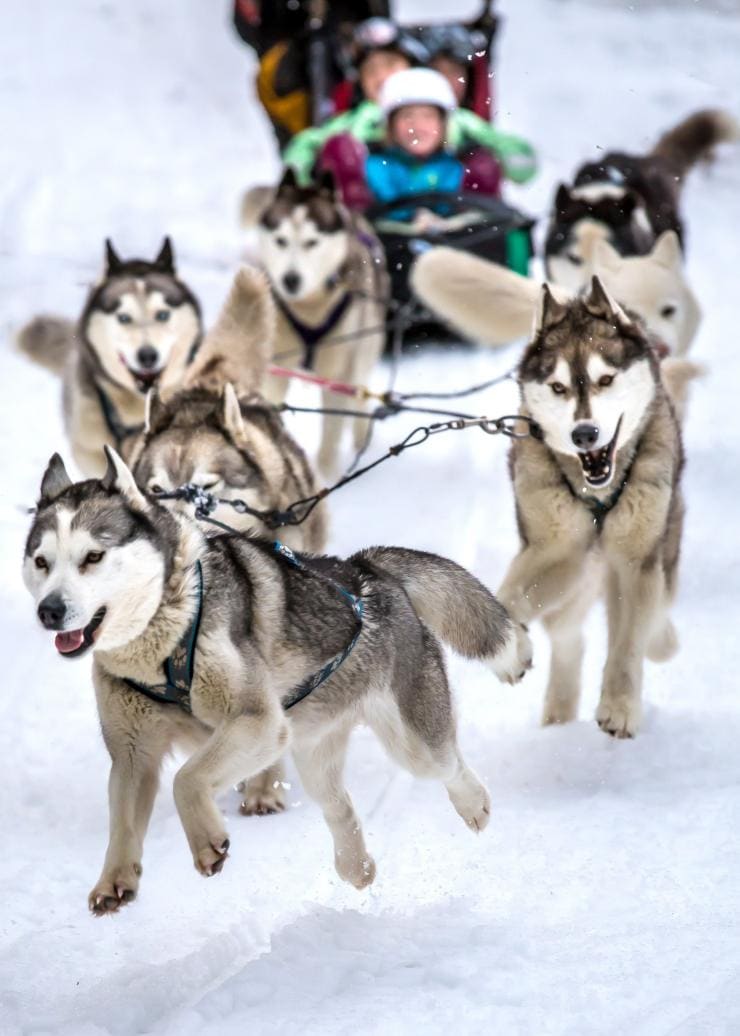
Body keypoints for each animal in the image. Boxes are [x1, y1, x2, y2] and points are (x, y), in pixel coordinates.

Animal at [23, 449, 530, 911]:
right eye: (41, 561)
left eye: (93, 556)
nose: (49, 611)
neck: (163, 637)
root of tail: (366, 569)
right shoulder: (133, 754)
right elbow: (123, 821)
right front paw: (114, 880)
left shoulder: (257, 722)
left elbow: (187, 779)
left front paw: (207, 840)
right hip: (310, 753)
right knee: (340, 807)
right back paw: (357, 867)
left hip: (411, 744)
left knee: (450, 765)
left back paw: (475, 805)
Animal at [244, 167, 389, 478]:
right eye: (281, 240)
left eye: (312, 242)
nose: (291, 279)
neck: (309, 306)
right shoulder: (275, 372)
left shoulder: (339, 371)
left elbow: (332, 433)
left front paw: (327, 475)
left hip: (363, 350)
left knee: (359, 394)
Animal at [493, 279, 684, 741]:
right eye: (559, 387)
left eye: (606, 379)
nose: (585, 434)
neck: (598, 493)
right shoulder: (557, 549)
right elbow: (506, 598)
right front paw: (509, 650)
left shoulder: (636, 560)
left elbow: (629, 640)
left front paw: (620, 706)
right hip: (578, 577)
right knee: (568, 638)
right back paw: (558, 714)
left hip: (654, 548)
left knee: (651, 614)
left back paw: (662, 641)